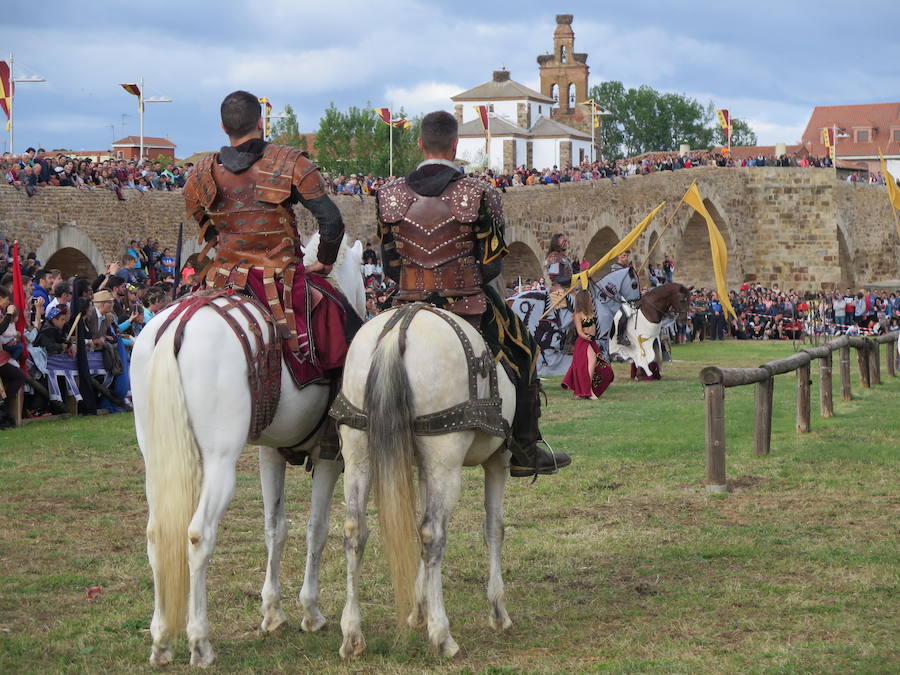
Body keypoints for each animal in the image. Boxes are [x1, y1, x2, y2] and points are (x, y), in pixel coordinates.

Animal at [130, 235, 362, 668]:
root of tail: (177, 325)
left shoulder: (270, 453)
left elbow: (276, 528)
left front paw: (272, 612)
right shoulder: (330, 458)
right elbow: (317, 529)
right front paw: (311, 612)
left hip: (156, 459)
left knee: (156, 536)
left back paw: (161, 640)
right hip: (220, 464)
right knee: (197, 536)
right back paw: (199, 642)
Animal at [334, 304, 516, 660]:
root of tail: (398, 329)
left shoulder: (421, 467)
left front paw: (418, 610)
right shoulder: (497, 461)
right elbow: (494, 528)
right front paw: (498, 612)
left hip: (359, 451)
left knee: (355, 532)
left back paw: (351, 635)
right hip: (445, 460)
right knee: (433, 534)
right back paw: (443, 635)